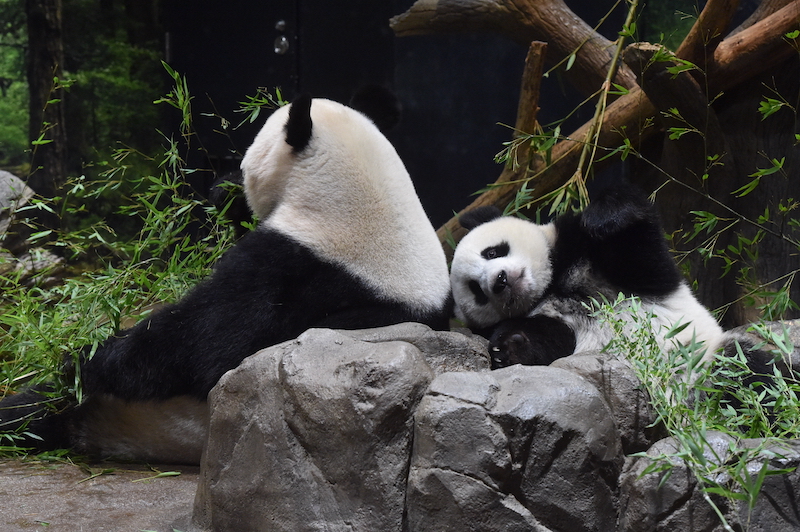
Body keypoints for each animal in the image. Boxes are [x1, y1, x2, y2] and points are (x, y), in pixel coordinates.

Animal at [0, 91, 454, 462]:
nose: (230, 175)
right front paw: (225, 196)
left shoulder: (293, 270)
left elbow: (201, 347)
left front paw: (86, 355)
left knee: (41, 405)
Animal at [450, 188, 724, 370]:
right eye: (477, 291)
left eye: (492, 252)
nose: (500, 280)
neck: (551, 287)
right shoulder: (551, 321)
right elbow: (547, 344)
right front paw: (506, 348)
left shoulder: (585, 253)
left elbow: (642, 256)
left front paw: (605, 217)